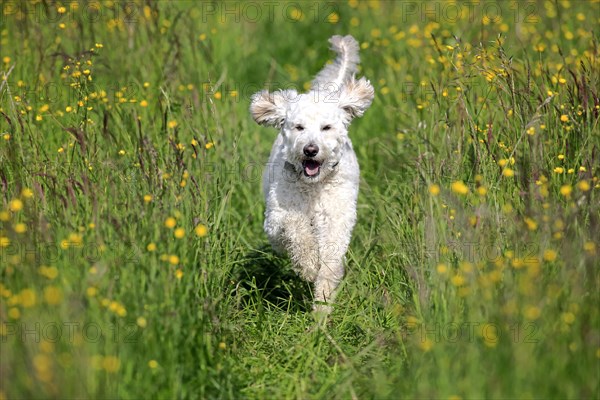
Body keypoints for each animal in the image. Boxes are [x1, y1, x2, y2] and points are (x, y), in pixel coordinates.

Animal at [247, 35, 370, 312]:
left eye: (326, 127)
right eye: (299, 127)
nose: (310, 150)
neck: (313, 186)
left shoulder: (337, 218)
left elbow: (331, 259)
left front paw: (322, 303)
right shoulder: (277, 218)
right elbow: (296, 228)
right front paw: (308, 266)